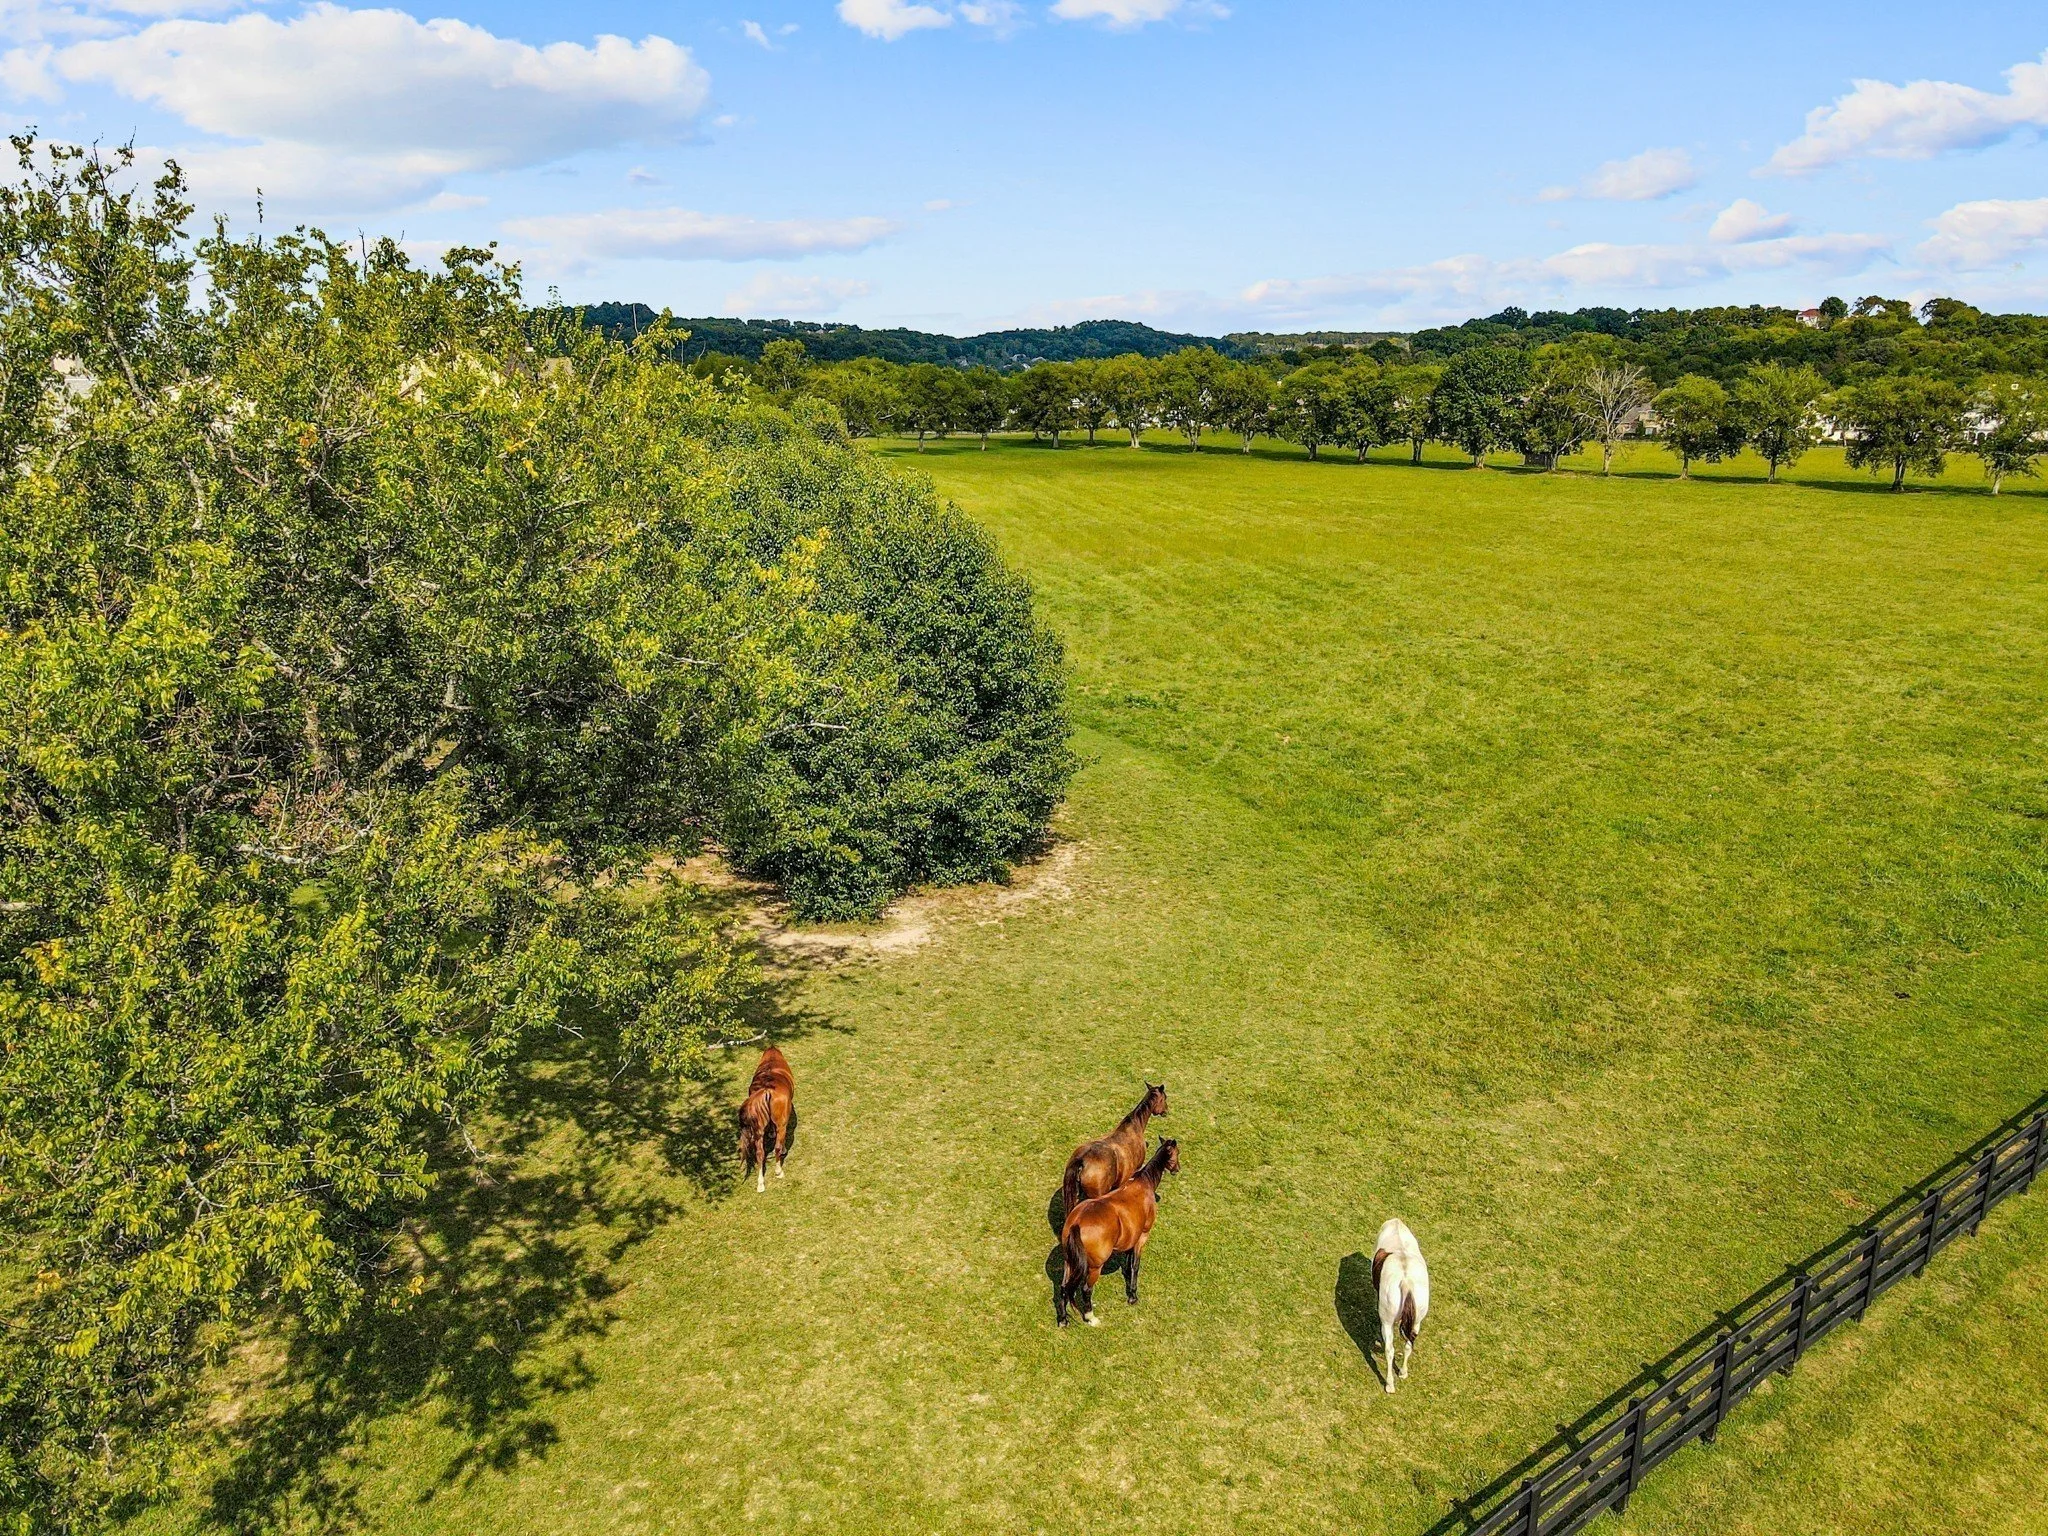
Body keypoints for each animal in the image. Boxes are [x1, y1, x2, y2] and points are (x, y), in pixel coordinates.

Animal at [738, 1046, 795, 1193]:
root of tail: (767, 1090)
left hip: (758, 1132)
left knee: (760, 1153)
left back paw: (760, 1184)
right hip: (781, 1125)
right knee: (777, 1148)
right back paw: (779, 1171)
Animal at [1056, 1138, 1180, 1326]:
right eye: (1177, 1153)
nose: (1177, 1168)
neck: (1143, 1183)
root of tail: (1076, 1223)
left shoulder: (1132, 1237)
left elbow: (1128, 1259)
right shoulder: (1142, 1236)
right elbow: (1135, 1265)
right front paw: (1133, 1295)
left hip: (1069, 1261)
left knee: (1064, 1287)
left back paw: (1063, 1319)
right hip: (1094, 1268)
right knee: (1086, 1289)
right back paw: (1090, 1317)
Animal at [1372, 1217, 1430, 1393]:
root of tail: (1405, 1282)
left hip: (1387, 1320)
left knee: (1389, 1350)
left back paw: (1389, 1384)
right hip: (1417, 1320)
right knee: (1408, 1344)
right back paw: (1403, 1372)